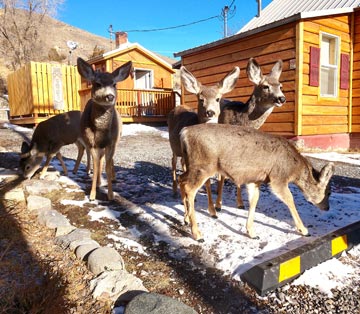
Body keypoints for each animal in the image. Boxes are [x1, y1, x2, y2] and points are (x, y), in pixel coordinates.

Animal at [77, 57, 132, 200]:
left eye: (114, 84)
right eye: (97, 83)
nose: (110, 96)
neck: (101, 131)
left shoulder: (111, 143)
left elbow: (107, 166)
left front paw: (111, 195)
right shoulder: (92, 143)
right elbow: (96, 166)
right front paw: (92, 195)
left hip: (117, 139)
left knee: (109, 160)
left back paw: (112, 177)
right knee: (99, 160)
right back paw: (98, 183)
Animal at [167, 65, 240, 196]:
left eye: (217, 99)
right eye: (201, 99)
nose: (210, 112)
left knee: (182, 162)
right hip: (173, 145)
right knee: (173, 162)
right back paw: (174, 190)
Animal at [180, 124, 334, 242]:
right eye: (328, 192)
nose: (327, 207)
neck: (293, 169)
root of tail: (184, 132)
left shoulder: (255, 180)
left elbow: (254, 200)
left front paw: (252, 233)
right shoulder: (278, 178)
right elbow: (290, 200)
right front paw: (304, 230)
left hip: (192, 166)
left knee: (182, 180)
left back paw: (186, 219)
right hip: (203, 166)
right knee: (189, 188)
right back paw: (197, 234)